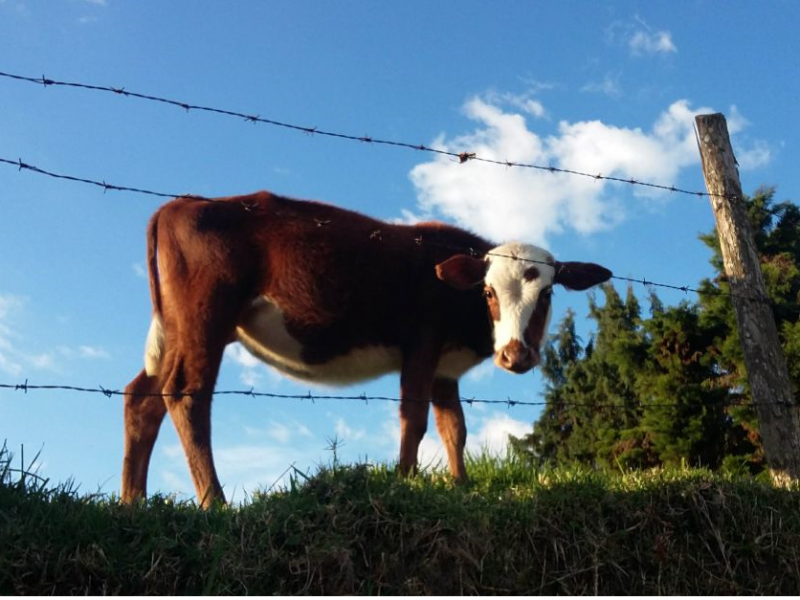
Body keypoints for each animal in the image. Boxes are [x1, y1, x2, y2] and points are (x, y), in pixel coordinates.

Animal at [122, 192, 612, 506]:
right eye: (488, 292)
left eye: (546, 294)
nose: (516, 355)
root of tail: (182, 202)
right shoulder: (422, 343)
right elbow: (414, 418)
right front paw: (406, 482)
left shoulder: (445, 366)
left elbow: (454, 428)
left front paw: (460, 487)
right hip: (205, 317)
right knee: (187, 394)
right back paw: (214, 503)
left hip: (179, 330)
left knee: (142, 398)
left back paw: (132, 503)